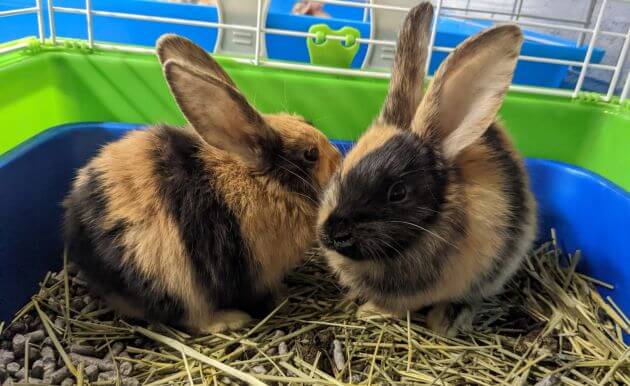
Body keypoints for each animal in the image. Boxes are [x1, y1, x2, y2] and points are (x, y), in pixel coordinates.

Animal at [61, 34, 344, 334]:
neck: (265, 182)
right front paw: (280, 297)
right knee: (194, 317)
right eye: (310, 154)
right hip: (180, 283)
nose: (339, 159)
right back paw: (233, 319)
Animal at [320, 2, 540, 334]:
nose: (333, 235)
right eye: (341, 170)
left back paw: (445, 322)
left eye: (398, 192)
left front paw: (369, 312)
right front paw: (351, 302)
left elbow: (399, 307)